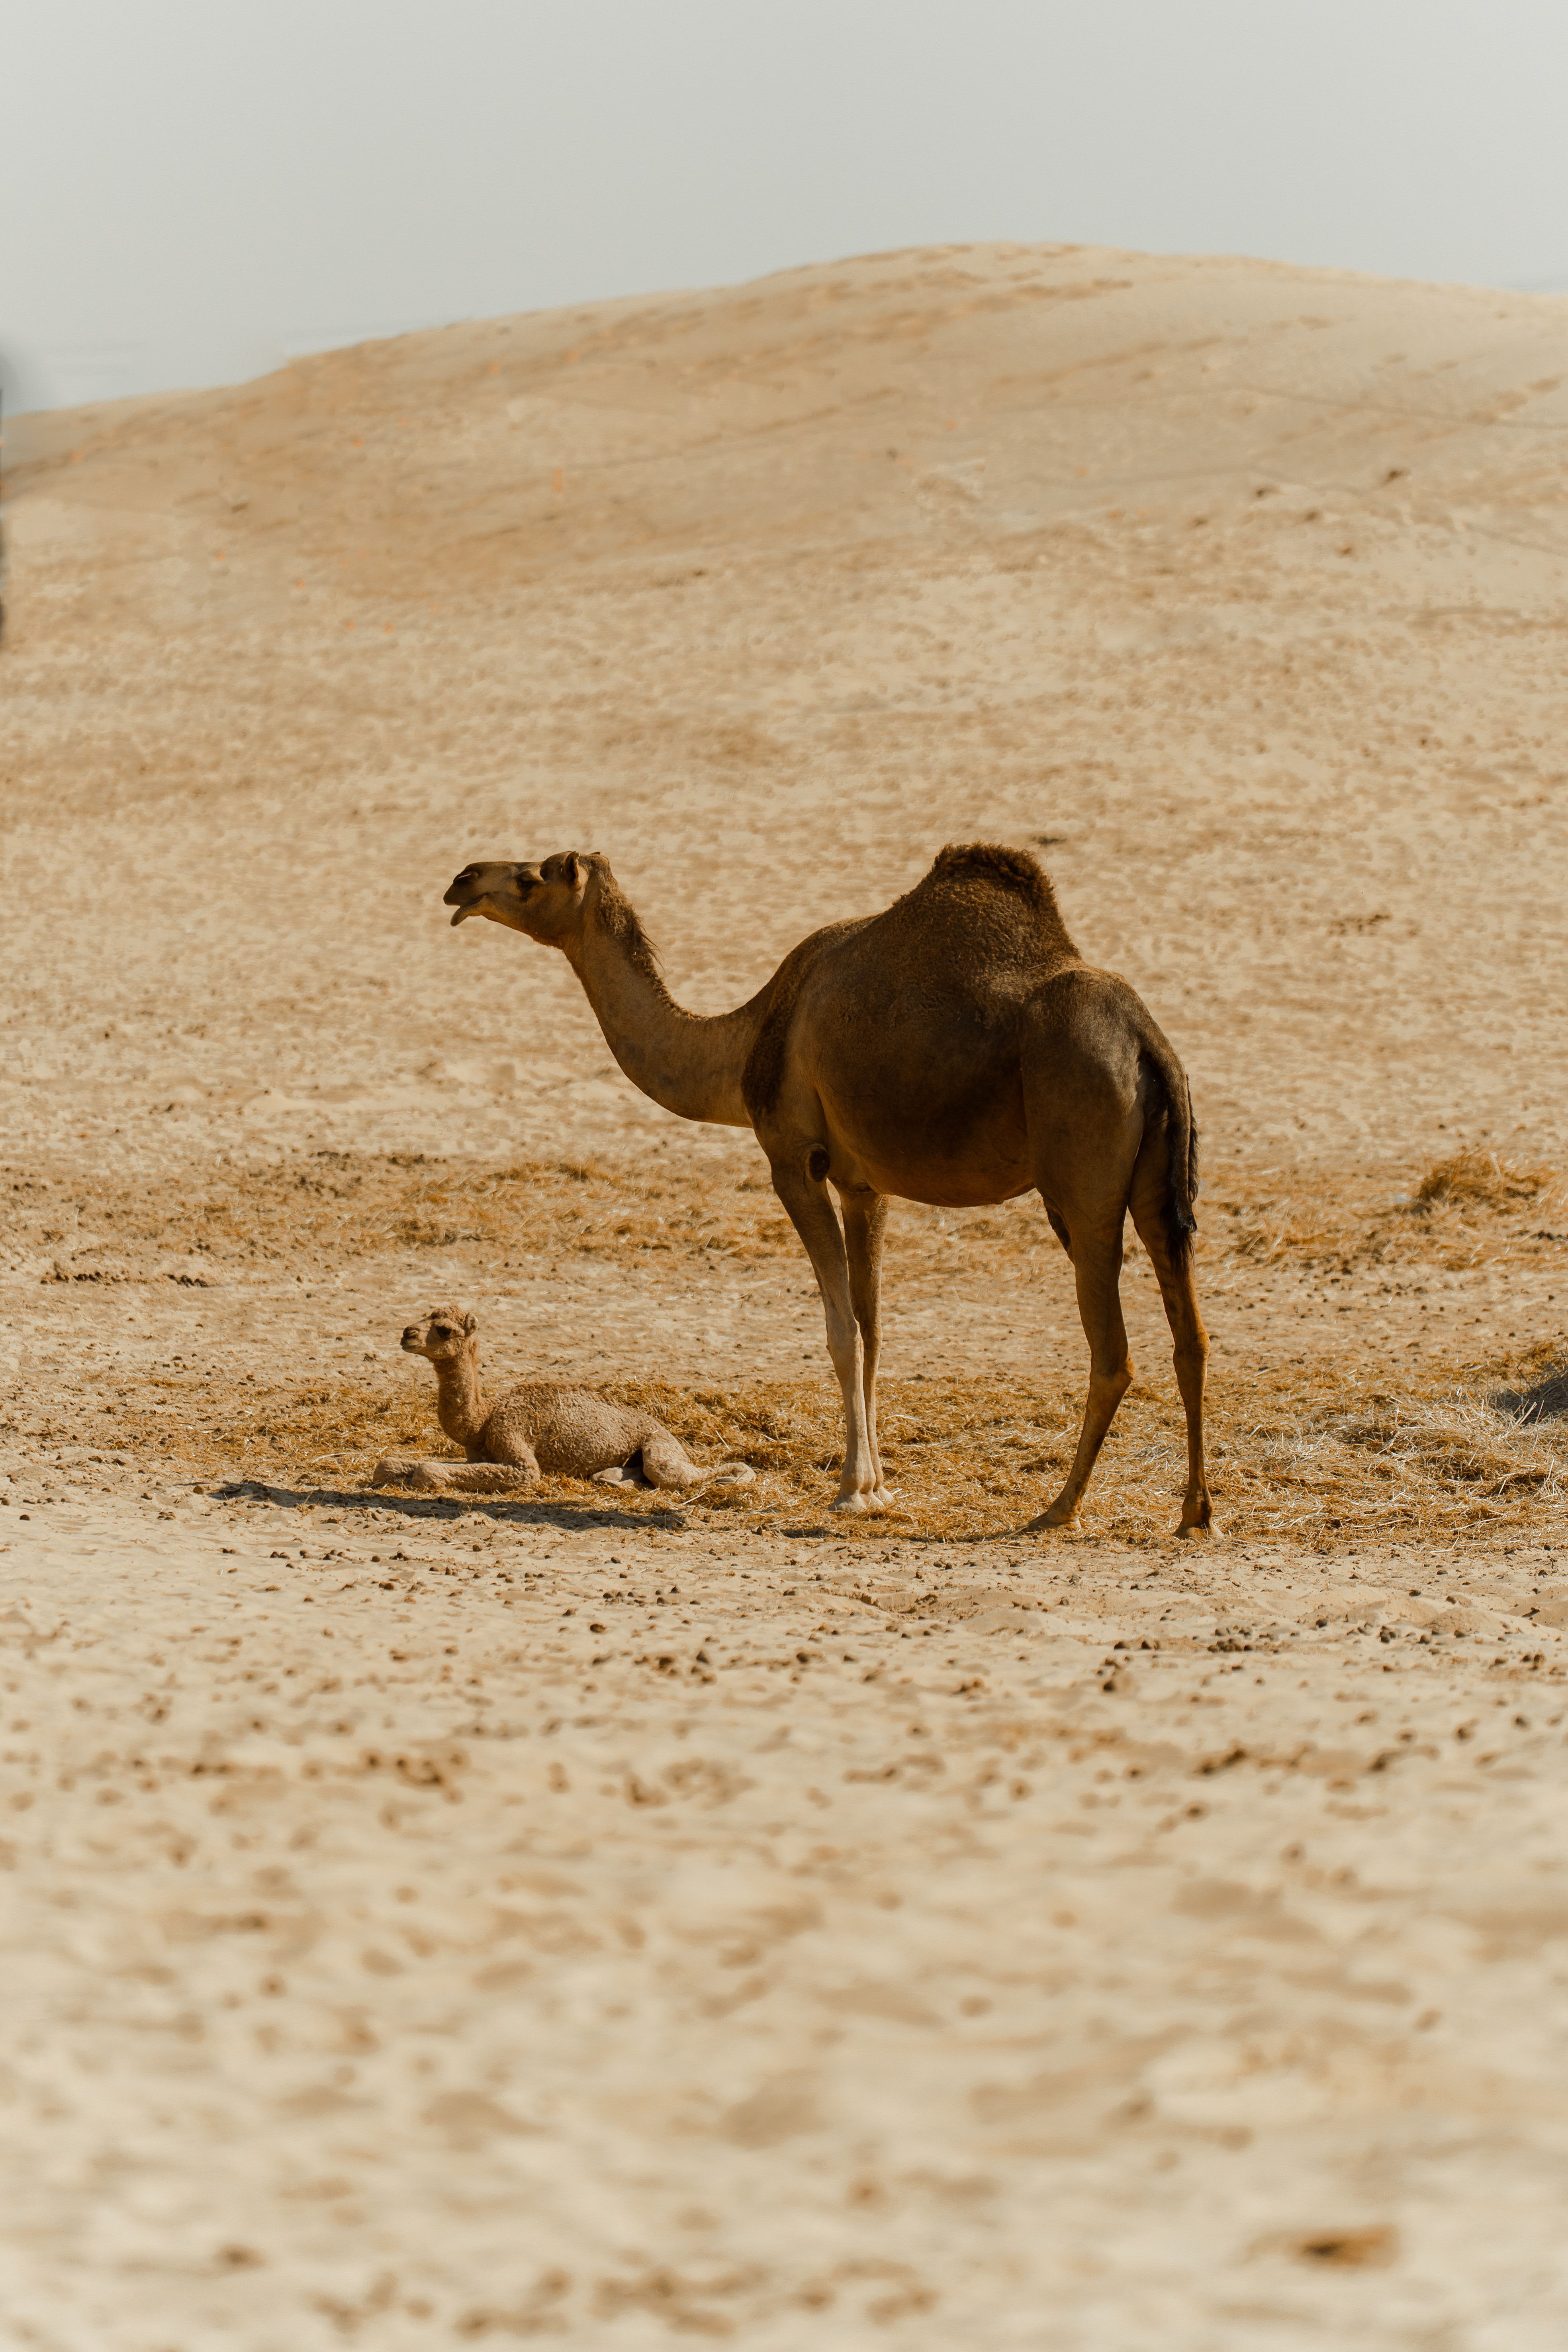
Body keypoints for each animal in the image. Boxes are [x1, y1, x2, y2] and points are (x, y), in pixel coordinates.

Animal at [371, 1306, 757, 1494]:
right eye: (423, 1316)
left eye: (445, 1329)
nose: (407, 1334)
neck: (483, 1419)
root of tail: (663, 1427)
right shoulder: (476, 1453)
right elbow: (388, 1464)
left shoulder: (515, 1445)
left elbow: (429, 1470)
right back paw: (611, 1477)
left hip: (660, 1446)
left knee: (675, 1474)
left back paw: (732, 1478)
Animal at [442, 843, 1211, 1533]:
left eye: (533, 876)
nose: (462, 880)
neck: (746, 1041)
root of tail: (1149, 1043)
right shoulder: (864, 1185)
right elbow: (873, 1331)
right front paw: (877, 1485)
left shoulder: (793, 1158)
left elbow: (840, 1330)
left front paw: (850, 1493)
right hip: (1158, 1189)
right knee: (1191, 1334)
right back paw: (1194, 1514)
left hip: (1081, 1184)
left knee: (1113, 1353)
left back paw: (1058, 1508)